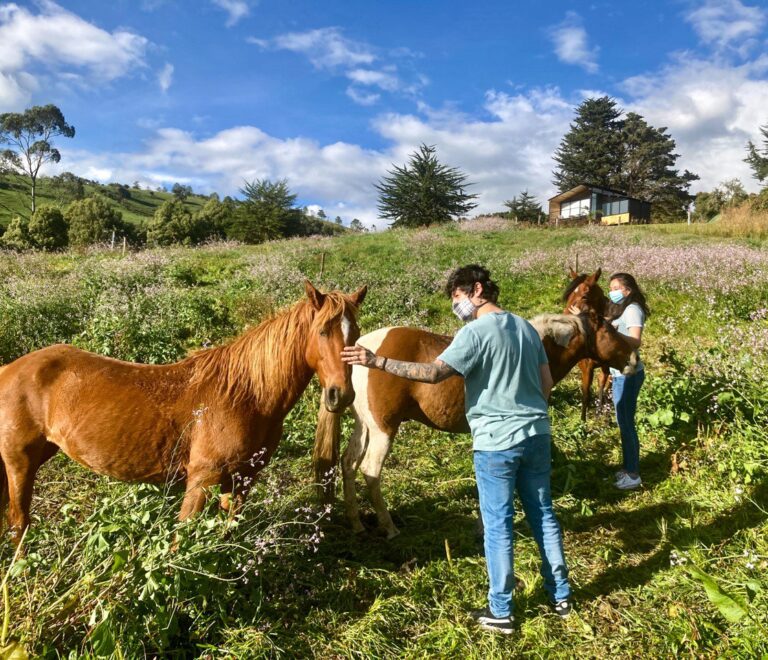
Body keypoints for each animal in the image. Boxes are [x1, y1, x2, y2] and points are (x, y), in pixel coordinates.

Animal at [0, 282, 366, 544]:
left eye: (357, 334)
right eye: (322, 332)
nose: (341, 395)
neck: (246, 395)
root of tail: (10, 368)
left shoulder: (243, 478)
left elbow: (227, 532)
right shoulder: (202, 478)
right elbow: (181, 541)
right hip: (20, 462)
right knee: (19, 521)